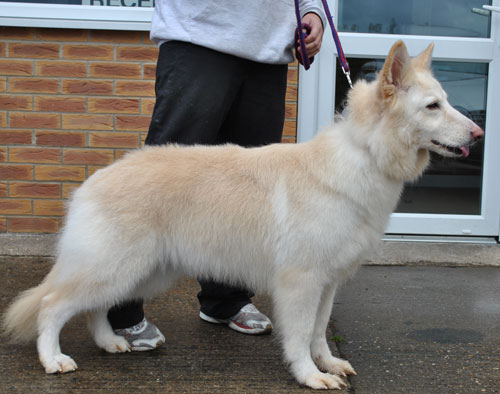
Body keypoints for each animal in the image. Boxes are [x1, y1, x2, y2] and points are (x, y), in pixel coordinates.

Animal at [1, 40, 482, 388]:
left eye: (446, 101)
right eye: (433, 107)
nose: (479, 134)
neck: (364, 155)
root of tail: (93, 181)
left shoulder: (327, 283)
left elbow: (319, 331)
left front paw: (328, 363)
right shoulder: (300, 283)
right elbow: (300, 336)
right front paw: (310, 376)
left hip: (141, 271)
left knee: (94, 309)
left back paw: (110, 343)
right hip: (116, 267)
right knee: (52, 305)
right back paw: (54, 359)